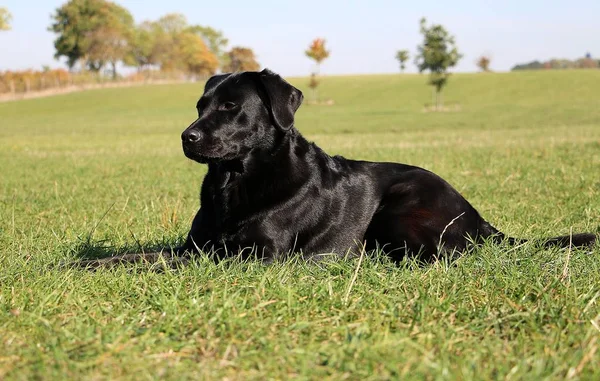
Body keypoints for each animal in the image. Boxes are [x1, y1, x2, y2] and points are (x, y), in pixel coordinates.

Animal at [79, 67, 596, 264]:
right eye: (200, 104)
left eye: (229, 107)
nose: (187, 137)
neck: (235, 182)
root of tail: (479, 217)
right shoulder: (198, 244)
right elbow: (151, 256)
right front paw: (94, 263)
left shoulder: (257, 254)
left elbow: (174, 263)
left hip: (399, 207)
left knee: (438, 256)